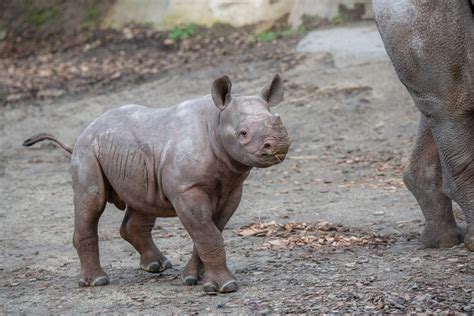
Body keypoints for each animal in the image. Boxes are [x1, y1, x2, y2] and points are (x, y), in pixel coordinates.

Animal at [24, 74, 290, 294]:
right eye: (243, 133)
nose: (279, 144)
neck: (216, 121)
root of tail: (82, 133)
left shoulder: (232, 189)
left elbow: (210, 231)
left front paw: (193, 278)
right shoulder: (186, 188)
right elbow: (208, 234)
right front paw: (224, 287)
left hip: (132, 155)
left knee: (143, 201)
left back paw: (157, 266)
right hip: (87, 150)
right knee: (91, 201)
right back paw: (97, 282)